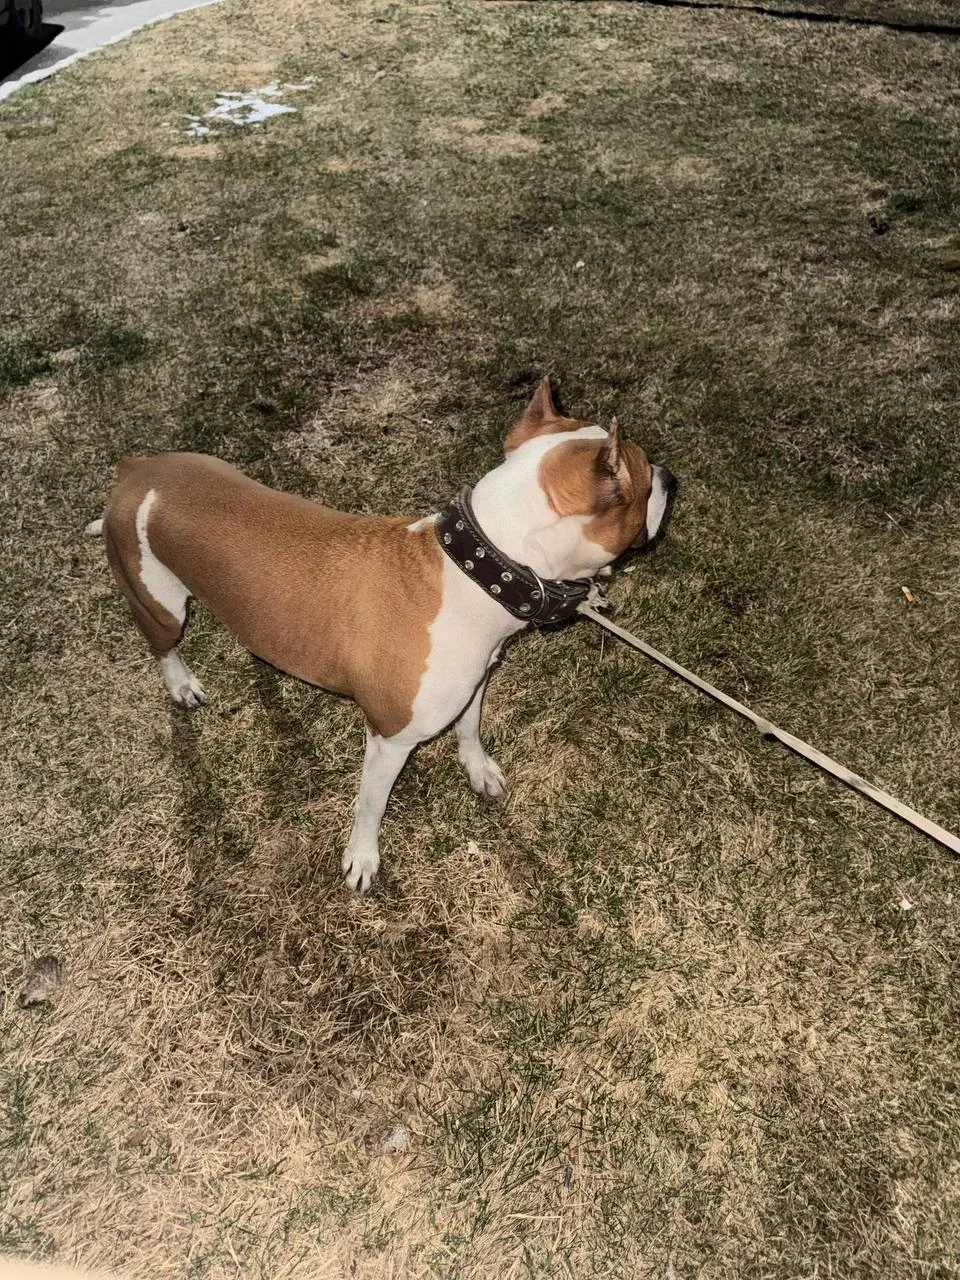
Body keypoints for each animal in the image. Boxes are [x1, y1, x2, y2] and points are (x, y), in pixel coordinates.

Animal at [86, 378, 675, 891]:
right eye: (646, 476)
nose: (671, 476)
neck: (478, 568)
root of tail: (136, 470)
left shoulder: (473, 683)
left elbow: (469, 729)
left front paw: (478, 769)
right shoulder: (389, 737)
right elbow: (371, 804)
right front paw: (362, 857)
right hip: (159, 602)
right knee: (162, 646)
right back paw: (180, 683)